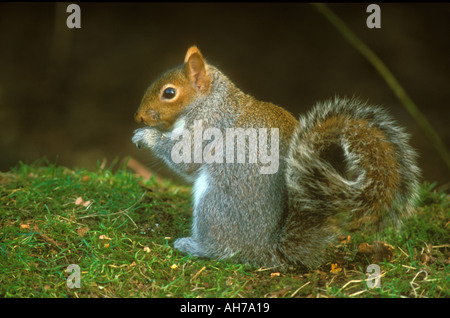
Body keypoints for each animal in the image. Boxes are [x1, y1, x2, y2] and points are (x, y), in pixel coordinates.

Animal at [132, 45, 420, 268]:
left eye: (169, 93)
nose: (138, 116)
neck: (210, 100)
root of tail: (266, 249)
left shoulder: (209, 126)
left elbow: (186, 158)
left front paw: (146, 137)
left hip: (213, 205)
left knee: (225, 250)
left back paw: (194, 247)